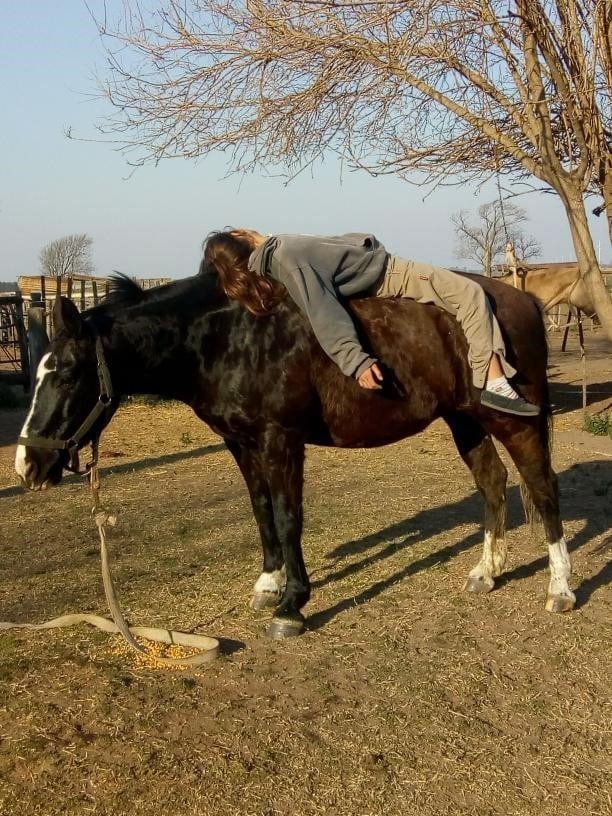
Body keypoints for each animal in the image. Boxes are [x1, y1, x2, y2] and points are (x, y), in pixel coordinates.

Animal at [15, 270, 580, 636]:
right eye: (37, 372)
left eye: (68, 373)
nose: (27, 465)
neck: (225, 338)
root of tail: (519, 300)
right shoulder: (242, 444)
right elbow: (262, 511)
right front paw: (269, 583)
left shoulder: (280, 439)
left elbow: (289, 517)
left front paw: (292, 605)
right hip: (463, 419)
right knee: (492, 482)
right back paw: (486, 573)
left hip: (509, 420)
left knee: (543, 488)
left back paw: (560, 589)